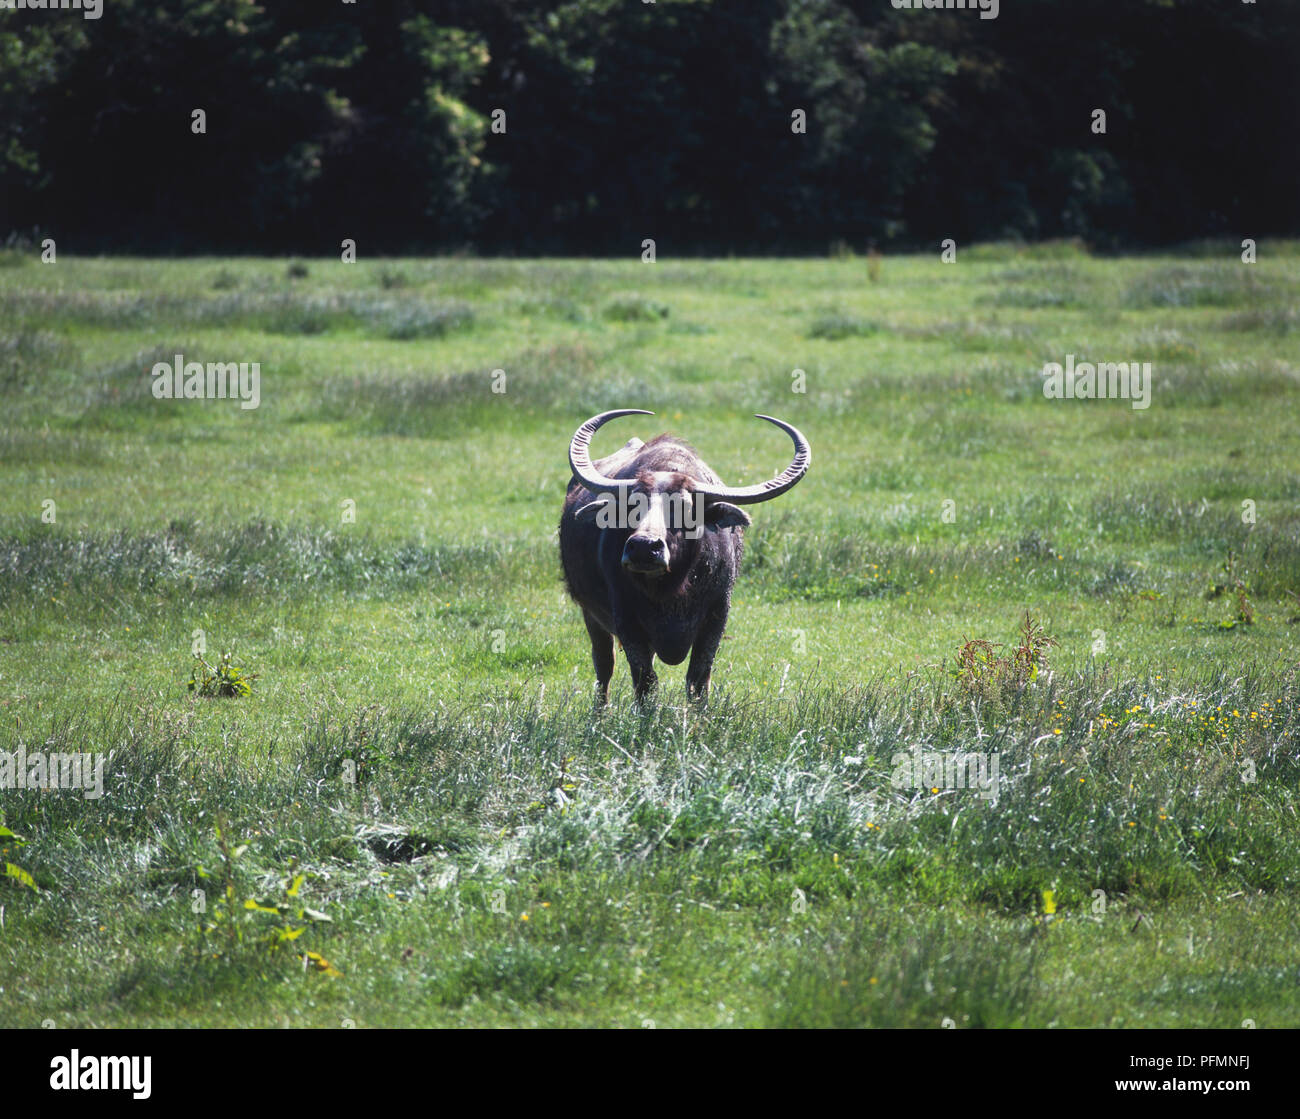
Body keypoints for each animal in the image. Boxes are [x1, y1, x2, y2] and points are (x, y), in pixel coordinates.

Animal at [556, 410, 806, 701]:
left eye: (686, 508)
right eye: (631, 505)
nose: (644, 547)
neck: (671, 591)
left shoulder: (717, 615)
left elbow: (698, 679)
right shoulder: (626, 619)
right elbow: (645, 682)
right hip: (591, 615)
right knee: (604, 666)